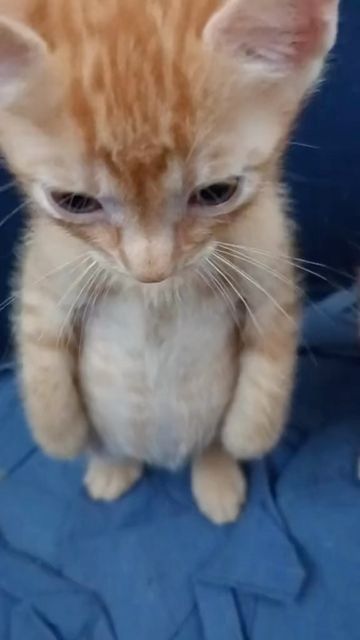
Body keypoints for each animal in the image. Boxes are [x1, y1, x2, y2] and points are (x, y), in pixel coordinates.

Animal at [0, 0, 338, 524]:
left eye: (216, 193)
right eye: (74, 202)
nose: (151, 270)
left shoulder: (270, 264)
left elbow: (269, 367)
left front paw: (249, 437)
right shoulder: (47, 274)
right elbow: (41, 359)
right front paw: (60, 437)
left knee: (209, 444)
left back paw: (216, 476)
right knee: (115, 444)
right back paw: (113, 466)